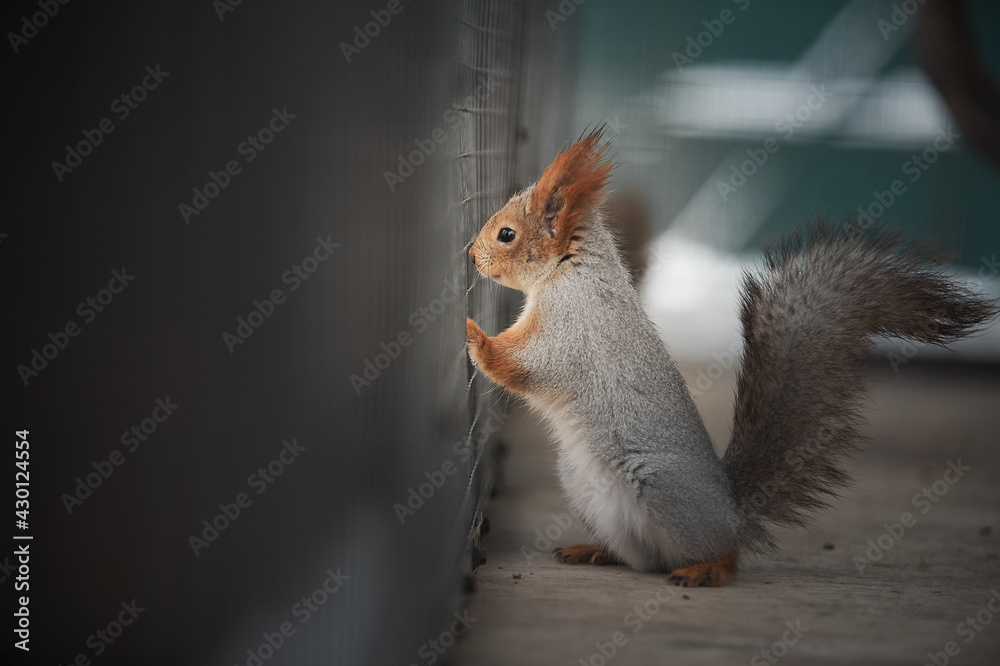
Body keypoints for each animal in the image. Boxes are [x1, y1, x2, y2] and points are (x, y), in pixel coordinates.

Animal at [465, 127, 998, 587]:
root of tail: (733, 512)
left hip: (662, 490)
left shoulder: (570, 330)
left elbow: (523, 366)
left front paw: (474, 336)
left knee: (722, 554)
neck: (567, 272)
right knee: (642, 557)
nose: (470, 254)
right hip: (586, 489)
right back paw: (594, 550)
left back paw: (708, 569)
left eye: (507, 234)